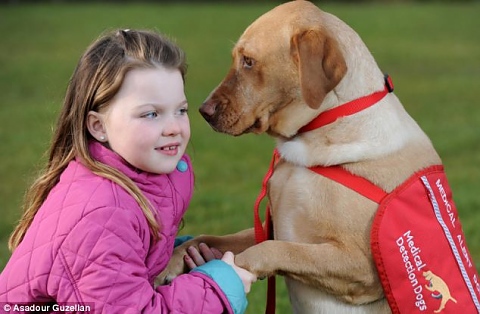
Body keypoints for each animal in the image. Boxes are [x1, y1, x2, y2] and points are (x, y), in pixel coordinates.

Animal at [160, 1, 442, 312]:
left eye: (248, 61)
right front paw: (172, 264)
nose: (203, 111)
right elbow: (205, 238)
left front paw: (224, 272)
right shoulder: (268, 227)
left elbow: (276, 249)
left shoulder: (361, 266)